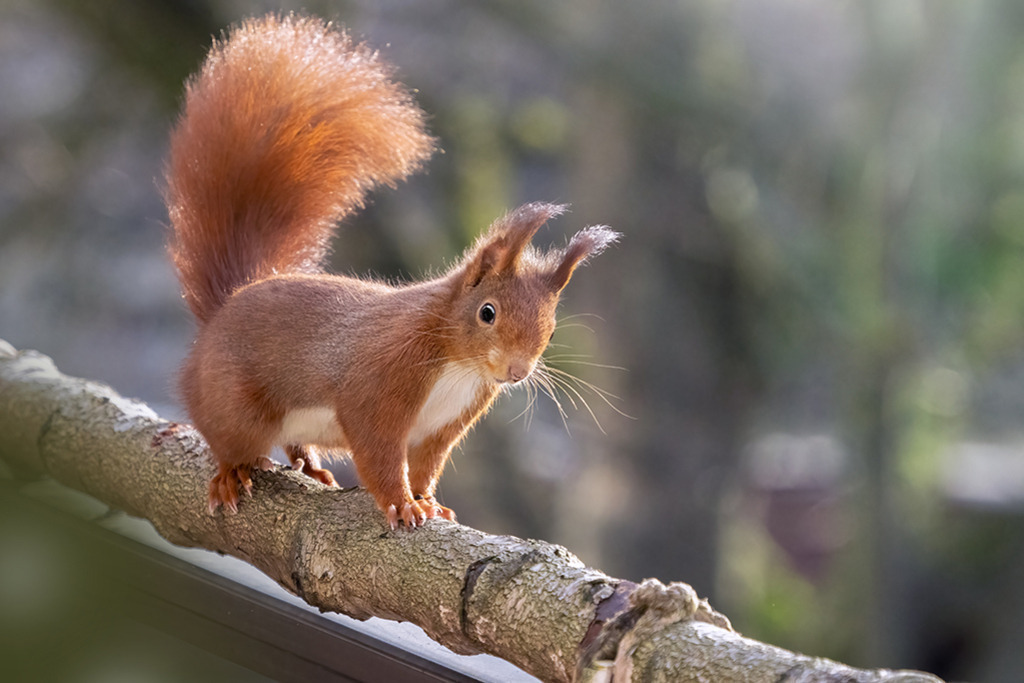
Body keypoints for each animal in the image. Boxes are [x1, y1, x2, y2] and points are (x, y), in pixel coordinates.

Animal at [164, 13, 619, 529]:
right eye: (487, 313)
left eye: (553, 330)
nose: (516, 372)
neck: (458, 363)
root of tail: (225, 306)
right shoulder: (381, 379)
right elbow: (379, 450)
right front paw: (402, 504)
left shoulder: (444, 424)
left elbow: (426, 464)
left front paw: (428, 501)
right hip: (234, 402)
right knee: (224, 436)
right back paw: (230, 473)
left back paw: (310, 466)